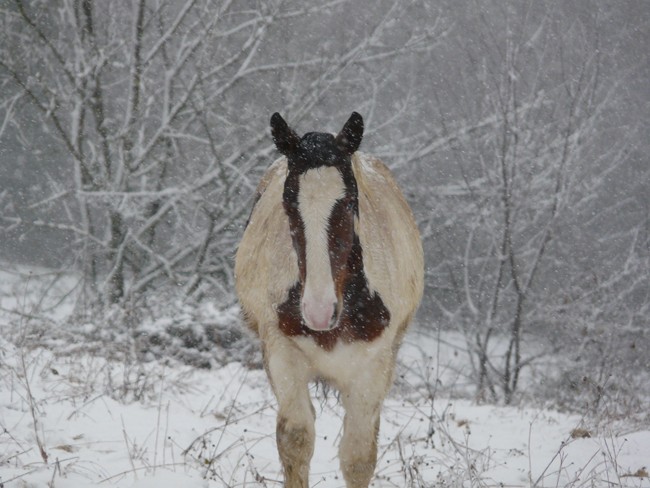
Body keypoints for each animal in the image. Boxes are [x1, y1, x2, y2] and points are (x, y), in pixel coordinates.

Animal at [235, 111, 422, 488]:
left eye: (349, 202)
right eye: (288, 204)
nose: (318, 311)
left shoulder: (372, 370)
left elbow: (358, 458)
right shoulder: (282, 355)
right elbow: (296, 441)